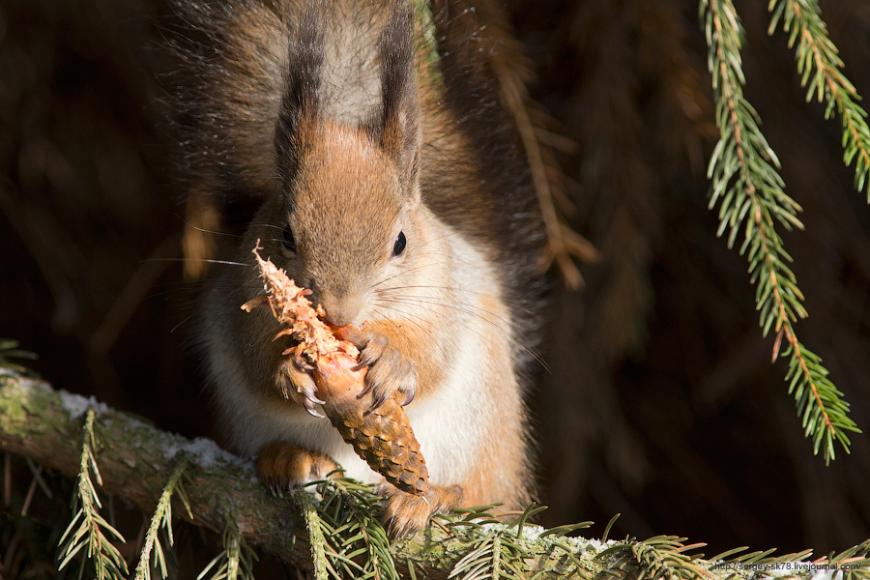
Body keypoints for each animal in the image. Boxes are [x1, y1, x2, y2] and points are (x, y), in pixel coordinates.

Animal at [172, 0, 544, 536]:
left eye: (401, 242)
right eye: (286, 235)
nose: (339, 312)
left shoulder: (448, 295)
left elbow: (431, 351)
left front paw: (393, 358)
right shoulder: (242, 302)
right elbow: (256, 359)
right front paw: (290, 371)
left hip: (483, 429)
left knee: (478, 493)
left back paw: (432, 499)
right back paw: (293, 458)